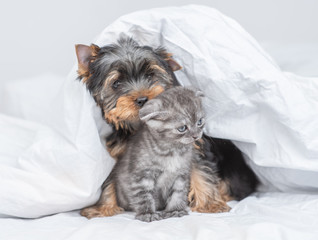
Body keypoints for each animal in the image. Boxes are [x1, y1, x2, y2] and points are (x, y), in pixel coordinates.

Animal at [110, 86, 206, 221]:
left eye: (200, 122)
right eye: (182, 128)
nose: (196, 136)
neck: (172, 151)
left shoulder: (181, 174)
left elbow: (178, 192)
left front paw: (175, 210)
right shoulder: (142, 175)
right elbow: (144, 196)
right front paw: (147, 213)